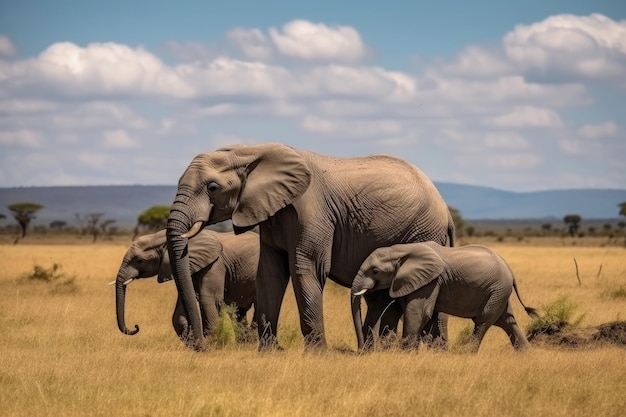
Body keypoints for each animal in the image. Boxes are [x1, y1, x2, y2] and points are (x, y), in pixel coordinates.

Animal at [113, 228, 258, 342]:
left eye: (139, 261)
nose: (136, 326)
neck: (161, 236)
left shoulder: (216, 264)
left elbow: (208, 299)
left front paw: (214, 345)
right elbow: (182, 308)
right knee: (240, 310)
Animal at [163, 141, 450, 350]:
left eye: (212, 187)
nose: (200, 345)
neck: (251, 150)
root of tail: (446, 211)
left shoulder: (313, 213)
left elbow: (307, 268)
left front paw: (317, 353)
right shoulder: (271, 214)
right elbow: (270, 274)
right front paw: (270, 351)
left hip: (422, 231)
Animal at [352, 240, 536, 352]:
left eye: (375, 271)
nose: (362, 350)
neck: (401, 249)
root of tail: (510, 270)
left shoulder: (431, 280)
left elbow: (419, 312)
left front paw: (406, 352)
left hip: (497, 289)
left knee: (484, 319)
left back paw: (465, 352)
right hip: (499, 291)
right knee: (506, 320)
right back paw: (526, 354)